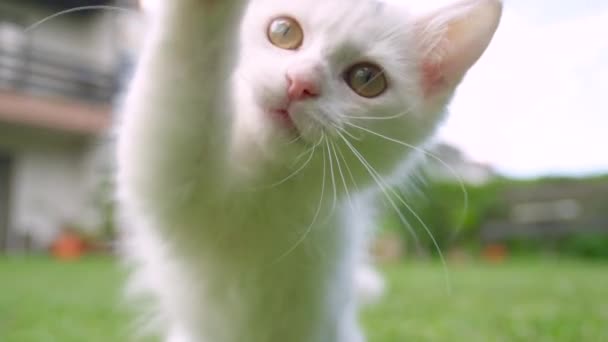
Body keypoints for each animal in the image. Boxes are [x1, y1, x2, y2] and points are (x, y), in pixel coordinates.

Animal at [116, 0, 502, 342]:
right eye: (283, 31)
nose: (301, 82)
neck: (272, 187)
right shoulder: (176, 179)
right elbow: (185, 73)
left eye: (366, 78)